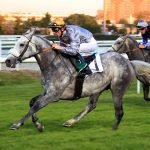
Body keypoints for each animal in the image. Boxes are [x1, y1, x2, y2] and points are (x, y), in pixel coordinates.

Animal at [5, 29, 150, 131]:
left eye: (22, 44)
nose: (8, 61)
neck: (53, 64)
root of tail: (129, 62)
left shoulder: (53, 95)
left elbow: (35, 106)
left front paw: (17, 124)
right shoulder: (48, 93)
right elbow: (32, 103)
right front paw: (38, 125)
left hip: (117, 89)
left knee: (119, 111)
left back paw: (113, 129)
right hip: (97, 88)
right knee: (91, 105)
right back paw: (70, 122)